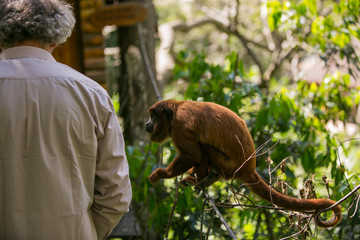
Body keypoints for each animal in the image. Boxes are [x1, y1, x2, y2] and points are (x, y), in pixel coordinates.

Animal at [145, 99, 342, 227]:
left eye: (153, 117)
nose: (147, 124)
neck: (177, 108)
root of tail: (249, 168)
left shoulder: (181, 125)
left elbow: (192, 155)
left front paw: (162, 174)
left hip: (228, 166)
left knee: (203, 149)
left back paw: (200, 180)